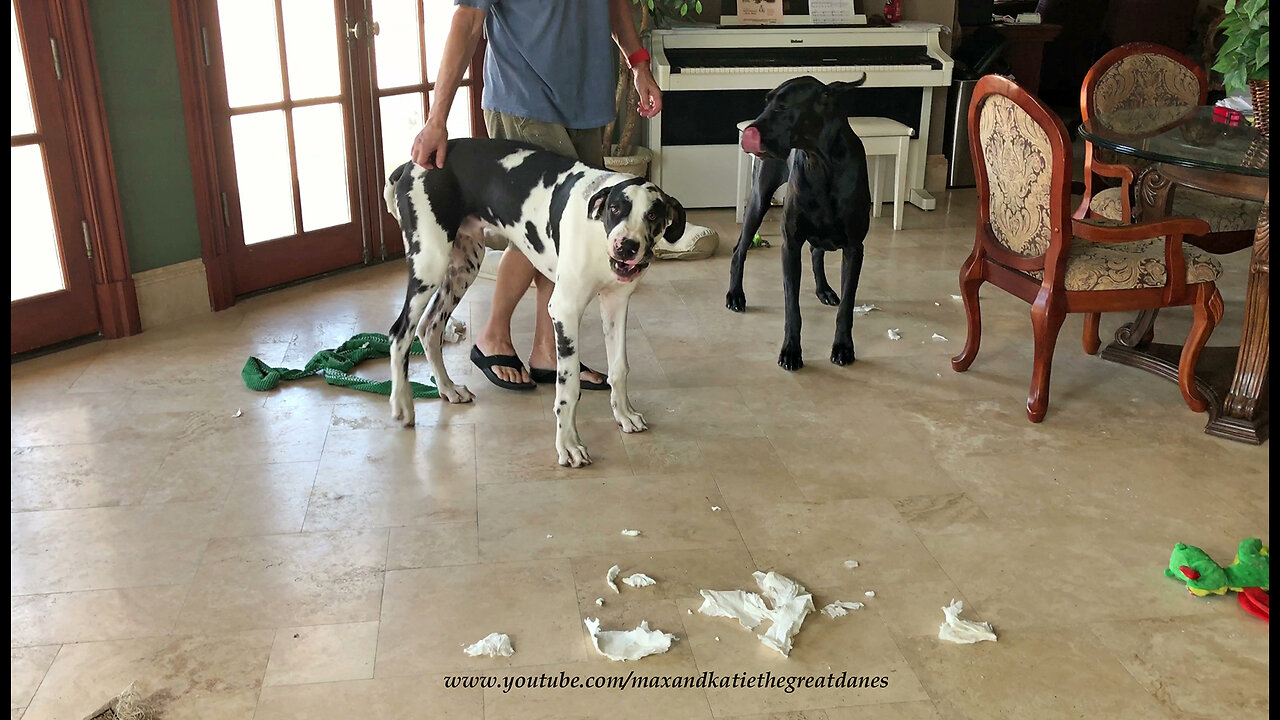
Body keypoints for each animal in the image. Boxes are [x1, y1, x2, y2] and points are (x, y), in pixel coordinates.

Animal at [381, 139, 686, 466]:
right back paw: (402, 403)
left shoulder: (616, 304)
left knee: (429, 328)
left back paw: (448, 388)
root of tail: (410, 165)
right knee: (400, 333)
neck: (597, 230)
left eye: (652, 216)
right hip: (430, 264)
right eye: (616, 208)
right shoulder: (565, 311)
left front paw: (624, 414)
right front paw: (568, 444)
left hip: (464, 267)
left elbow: (619, 368)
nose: (626, 247)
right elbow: (568, 386)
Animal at [727, 76, 875, 368]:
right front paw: (791, 350)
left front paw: (843, 347)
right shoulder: (790, 245)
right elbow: (791, 307)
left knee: (817, 252)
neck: (822, 163)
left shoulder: (854, 248)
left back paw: (824, 290)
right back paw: (735, 295)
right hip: (759, 200)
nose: (748, 132)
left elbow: (847, 306)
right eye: (767, 101)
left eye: (783, 107)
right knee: (740, 249)